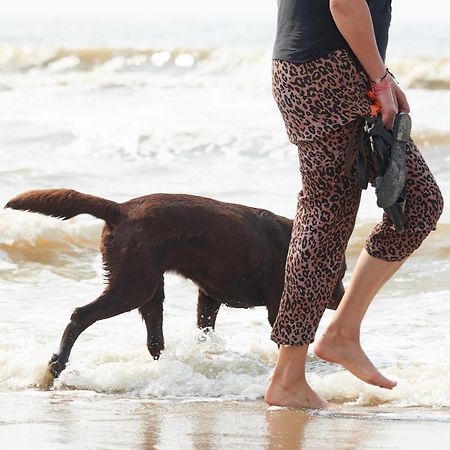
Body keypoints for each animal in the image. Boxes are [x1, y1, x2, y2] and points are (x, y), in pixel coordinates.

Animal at [4, 188, 344, 384]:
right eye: (339, 273)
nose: (341, 298)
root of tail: (120, 209)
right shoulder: (278, 304)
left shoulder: (208, 295)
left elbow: (205, 328)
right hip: (132, 286)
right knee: (80, 315)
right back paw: (56, 365)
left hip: (149, 288)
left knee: (154, 339)